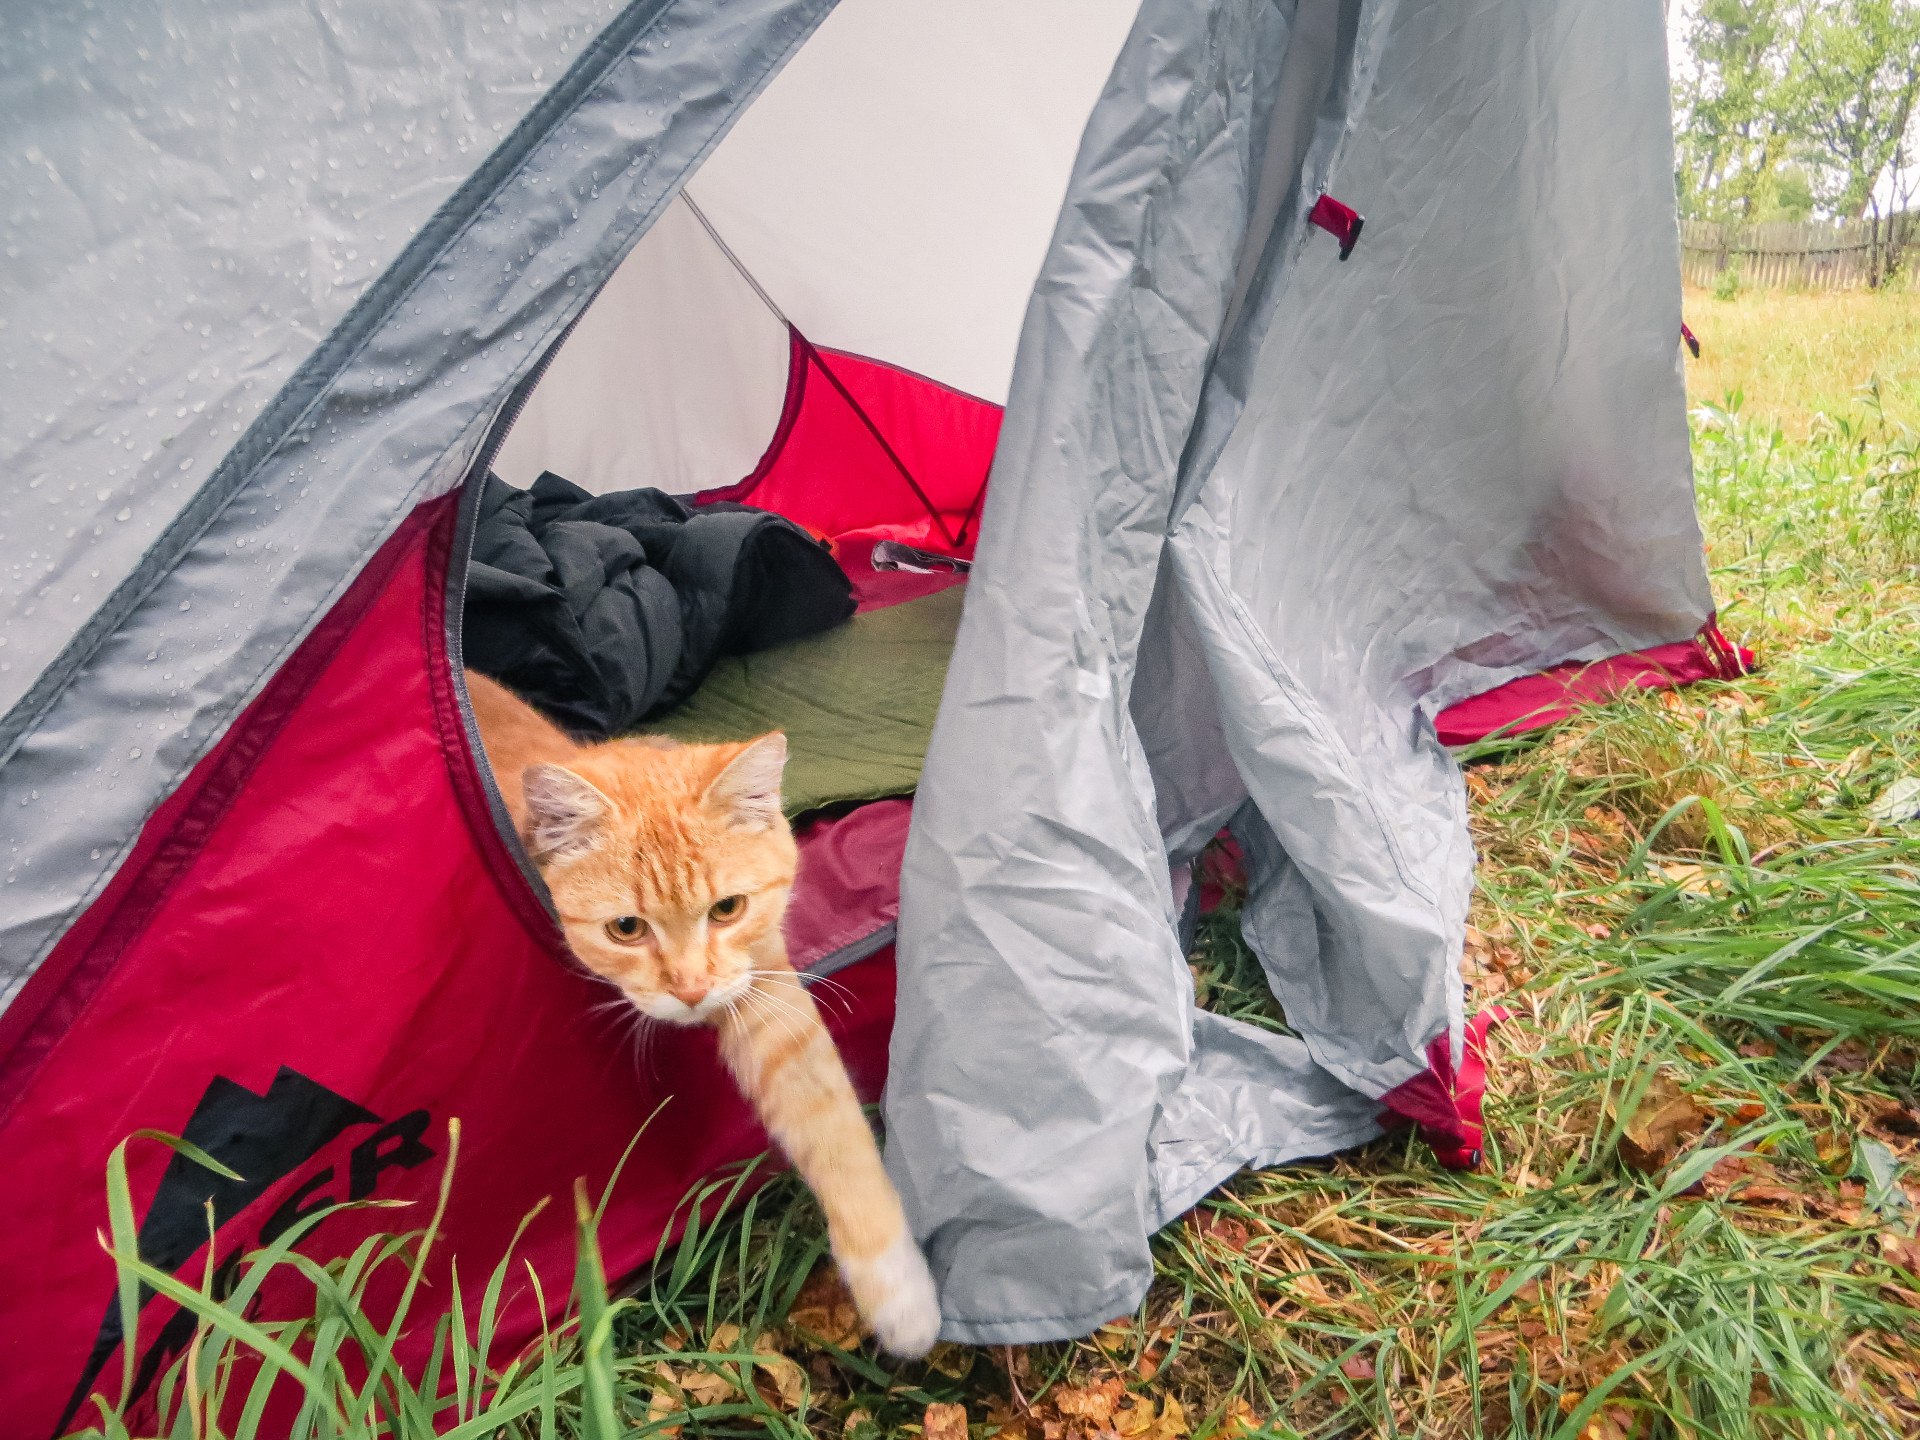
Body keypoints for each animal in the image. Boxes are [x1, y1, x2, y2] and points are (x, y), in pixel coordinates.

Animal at [468, 672, 940, 1359]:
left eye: (727, 909)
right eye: (626, 928)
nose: (691, 990)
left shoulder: (766, 994)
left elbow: (832, 1126)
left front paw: (899, 1292)